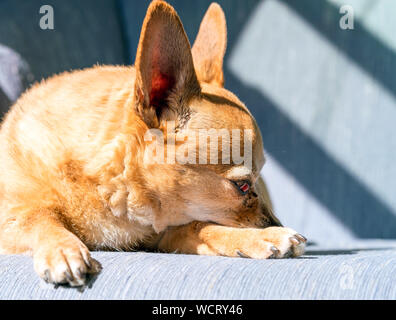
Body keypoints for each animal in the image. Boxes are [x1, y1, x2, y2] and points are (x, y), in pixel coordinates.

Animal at [0, 0, 306, 288]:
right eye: (241, 186)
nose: (275, 223)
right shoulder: (11, 218)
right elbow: (37, 216)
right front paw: (63, 248)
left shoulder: (165, 234)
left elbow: (200, 226)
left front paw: (260, 237)